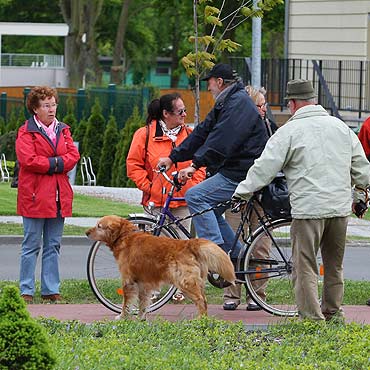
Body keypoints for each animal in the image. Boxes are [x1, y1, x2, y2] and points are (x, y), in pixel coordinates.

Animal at [86, 215, 234, 320]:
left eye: (99, 226)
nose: (86, 232)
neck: (125, 235)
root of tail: (189, 243)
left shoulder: (128, 281)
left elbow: (126, 303)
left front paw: (122, 317)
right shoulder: (143, 283)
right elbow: (143, 303)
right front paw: (141, 319)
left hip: (184, 282)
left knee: (201, 301)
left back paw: (201, 320)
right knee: (204, 300)